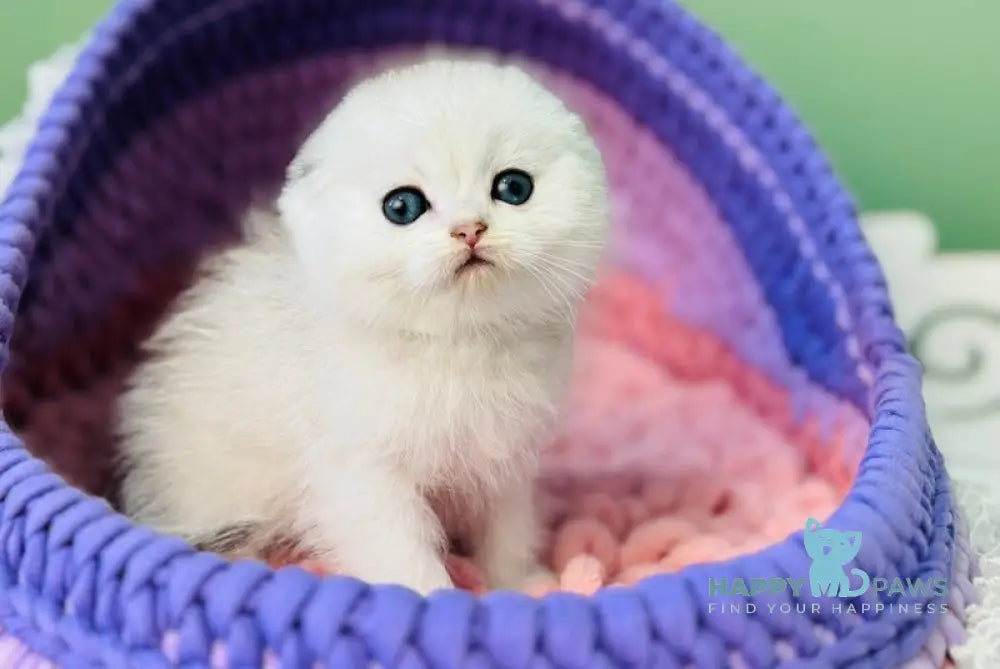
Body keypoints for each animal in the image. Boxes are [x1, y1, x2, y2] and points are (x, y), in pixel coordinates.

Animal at [117, 57, 608, 588]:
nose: (469, 230)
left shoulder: (506, 457)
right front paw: (435, 597)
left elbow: (507, 526)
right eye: (403, 206)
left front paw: (522, 584)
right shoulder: (357, 473)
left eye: (514, 187)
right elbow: (402, 552)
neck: (457, 345)